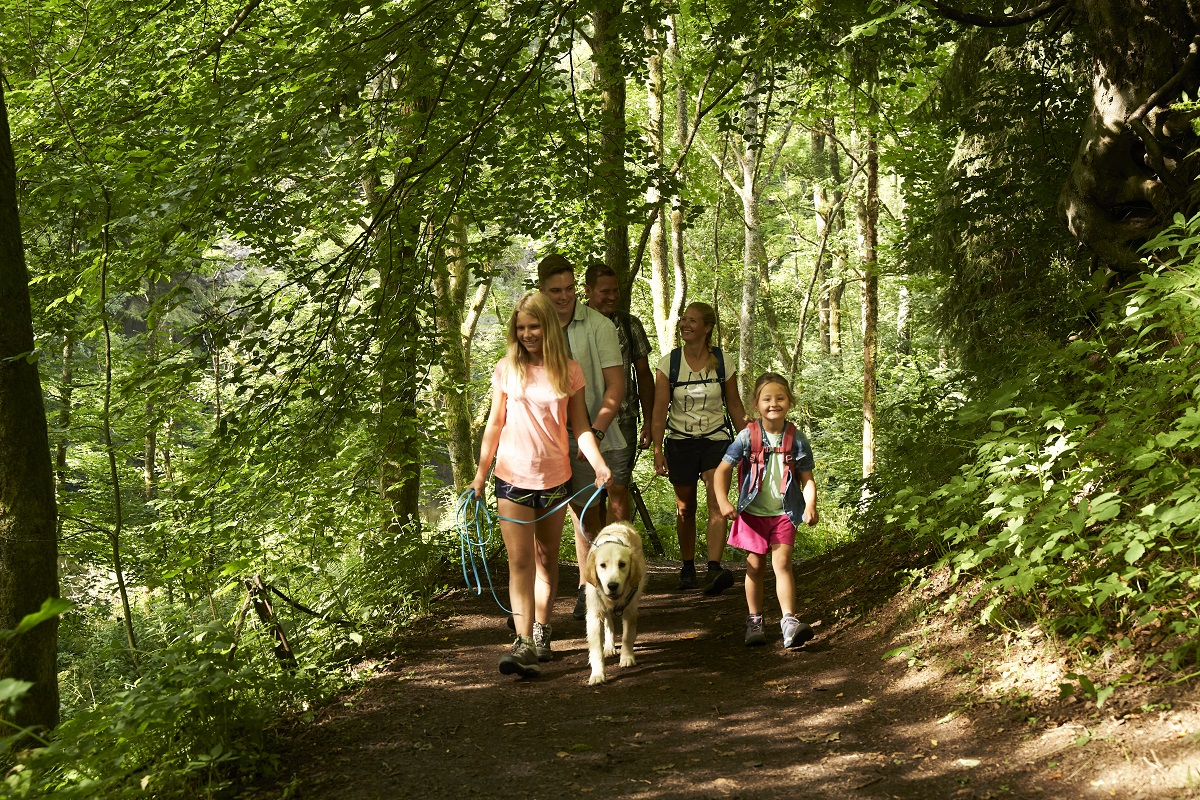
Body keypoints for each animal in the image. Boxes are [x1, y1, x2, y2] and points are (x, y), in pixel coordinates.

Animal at [580, 522, 648, 686]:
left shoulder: (630, 610)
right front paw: (597, 674)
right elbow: (596, 650)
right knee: (608, 623)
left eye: (622, 564)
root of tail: (621, 523)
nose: (612, 585)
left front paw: (627, 657)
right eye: (602, 565)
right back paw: (610, 647)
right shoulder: (594, 615)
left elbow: (627, 636)